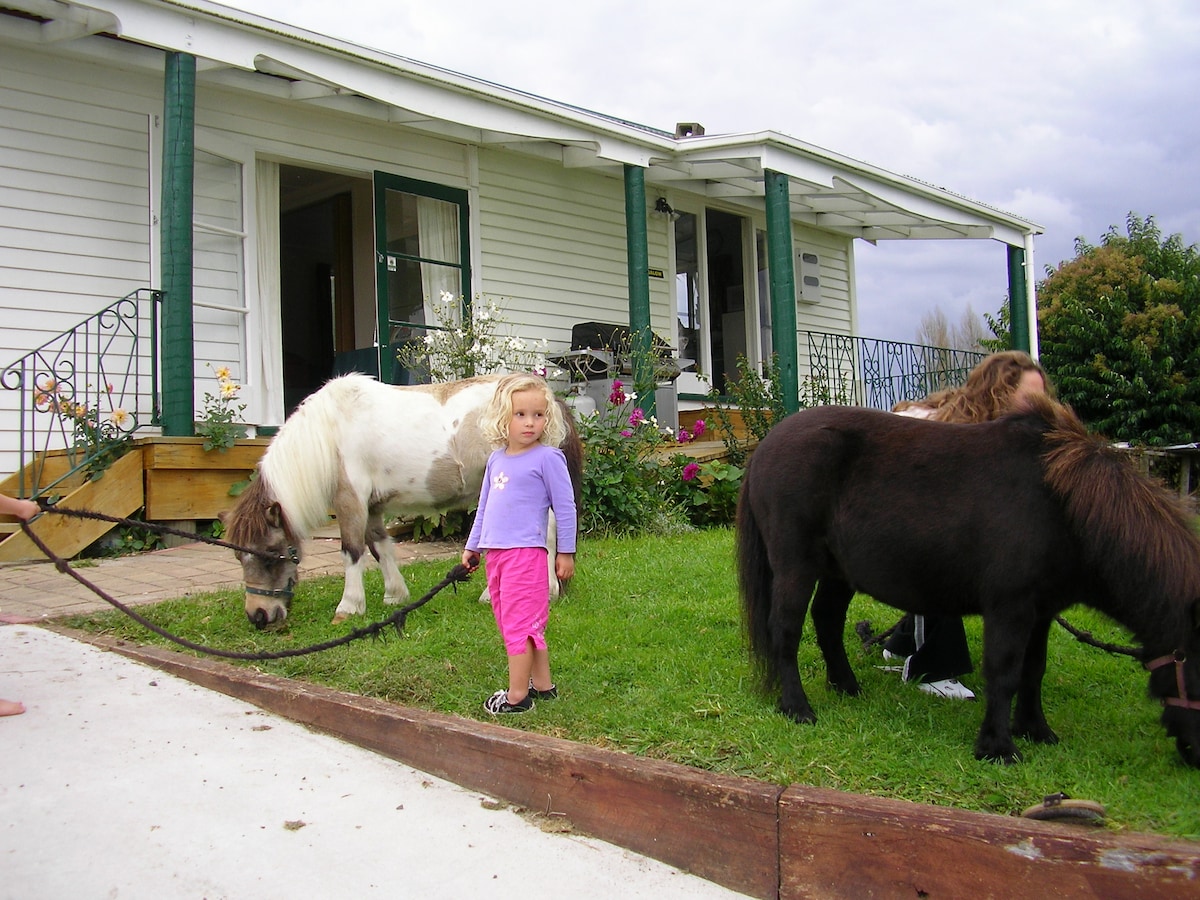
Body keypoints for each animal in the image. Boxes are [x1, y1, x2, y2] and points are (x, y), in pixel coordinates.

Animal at [734, 396, 1200, 768]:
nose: (1194, 756)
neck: (1060, 507)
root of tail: (767, 445)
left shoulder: (1041, 612)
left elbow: (1033, 670)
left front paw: (1035, 729)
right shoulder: (1010, 607)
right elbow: (1005, 672)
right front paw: (998, 747)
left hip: (837, 571)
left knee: (827, 621)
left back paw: (847, 686)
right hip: (796, 564)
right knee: (786, 629)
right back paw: (797, 707)